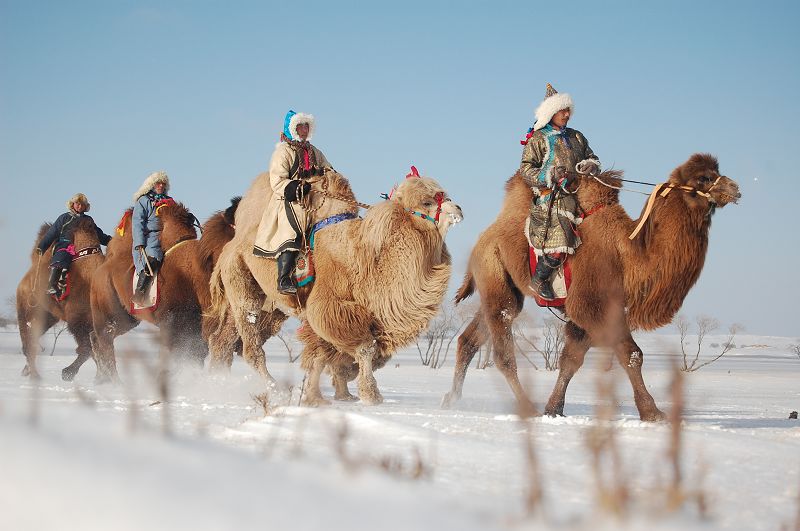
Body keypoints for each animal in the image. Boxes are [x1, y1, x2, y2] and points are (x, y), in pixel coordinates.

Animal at [15, 217, 105, 382]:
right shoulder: (78, 319)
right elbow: (87, 349)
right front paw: (67, 373)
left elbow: (97, 349)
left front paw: (104, 379)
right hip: (25, 310)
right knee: (28, 343)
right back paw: (35, 376)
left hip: (48, 316)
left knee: (32, 340)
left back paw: (27, 371)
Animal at [90, 201, 206, 382]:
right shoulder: (170, 322)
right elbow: (173, 354)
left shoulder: (193, 324)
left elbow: (196, 354)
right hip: (106, 304)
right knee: (105, 337)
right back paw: (115, 382)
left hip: (127, 317)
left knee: (98, 337)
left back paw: (102, 380)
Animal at [440, 155, 740, 424]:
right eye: (704, 178)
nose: (734, 188)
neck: (628, 253)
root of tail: (484, 238)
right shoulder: (594, 303)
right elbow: (632, 354)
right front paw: (653, 413)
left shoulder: (586, 313)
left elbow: (570, 360)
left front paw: (554, 409)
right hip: (494, 271)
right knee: (503, 350)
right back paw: (526, 408)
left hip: (502, 286)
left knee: (470, 338)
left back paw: (451, 399)